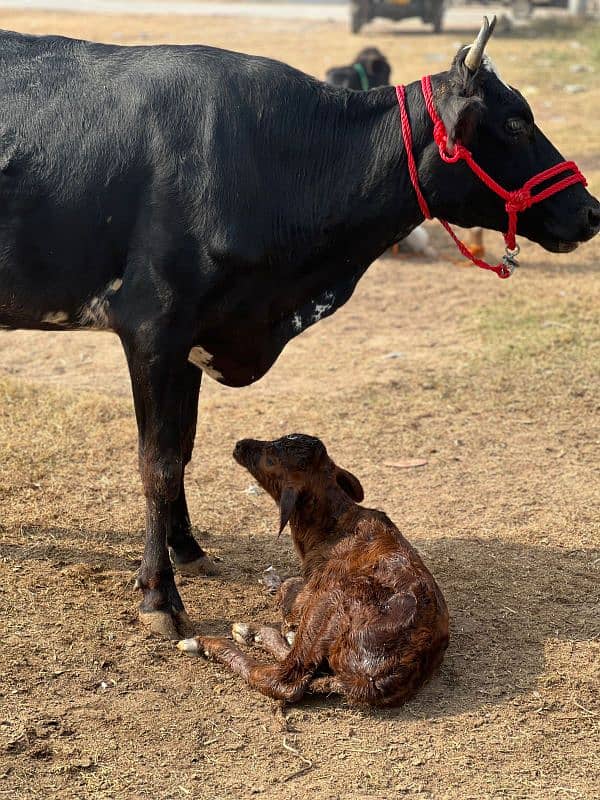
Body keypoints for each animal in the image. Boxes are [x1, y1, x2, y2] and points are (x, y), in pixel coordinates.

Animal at [0, 21, 596, 640]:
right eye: (516, 123)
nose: (591, 211)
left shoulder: (194, 337)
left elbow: (184, 449)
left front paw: (188, 549)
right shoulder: (153, 331)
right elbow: (158, 465)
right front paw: (160, 594)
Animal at [180, 438, 448, 708]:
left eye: (271, 458)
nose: (240, 444)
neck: (325, 531)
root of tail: (370, 683)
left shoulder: (317, 587)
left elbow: (289, 587)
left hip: (332, 601)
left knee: (288, 679)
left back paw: (209, 642)